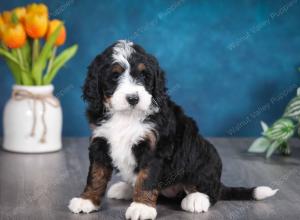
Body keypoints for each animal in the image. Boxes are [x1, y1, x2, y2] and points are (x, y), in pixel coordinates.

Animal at [68, 40, 278, 219]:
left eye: (144, 76)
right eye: (115, 76)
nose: (133, 98)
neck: (127, 115)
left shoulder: (154, 148)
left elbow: (146, 178)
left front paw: (142, 207)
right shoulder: (100, 141)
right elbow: (96, 175)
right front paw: (87, 200)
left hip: (204, 156)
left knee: (211, 190)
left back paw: (196, 198)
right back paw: (125, 188)